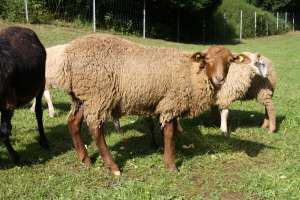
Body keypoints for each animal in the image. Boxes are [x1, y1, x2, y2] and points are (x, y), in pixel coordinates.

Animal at [0, 26, 48, 162]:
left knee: (38, 112)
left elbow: (3, 133)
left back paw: (44, 142)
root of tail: (21, 27)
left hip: (40, 85)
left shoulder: (6, 101)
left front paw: (15, 156)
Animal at [55, 34, 251, 175]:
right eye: (208, 59)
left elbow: (172, 132)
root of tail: (68, 57)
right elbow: (169, 133)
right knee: (95, 130)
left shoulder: (171, 103)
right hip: (98, 95)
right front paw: (171, 164)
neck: (192, 73)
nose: (220, 79)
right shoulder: (171, 103)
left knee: (73, 121)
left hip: (82, 96)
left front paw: (173, 153)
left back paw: (84, 158)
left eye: (230, 61)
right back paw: (113, 166)